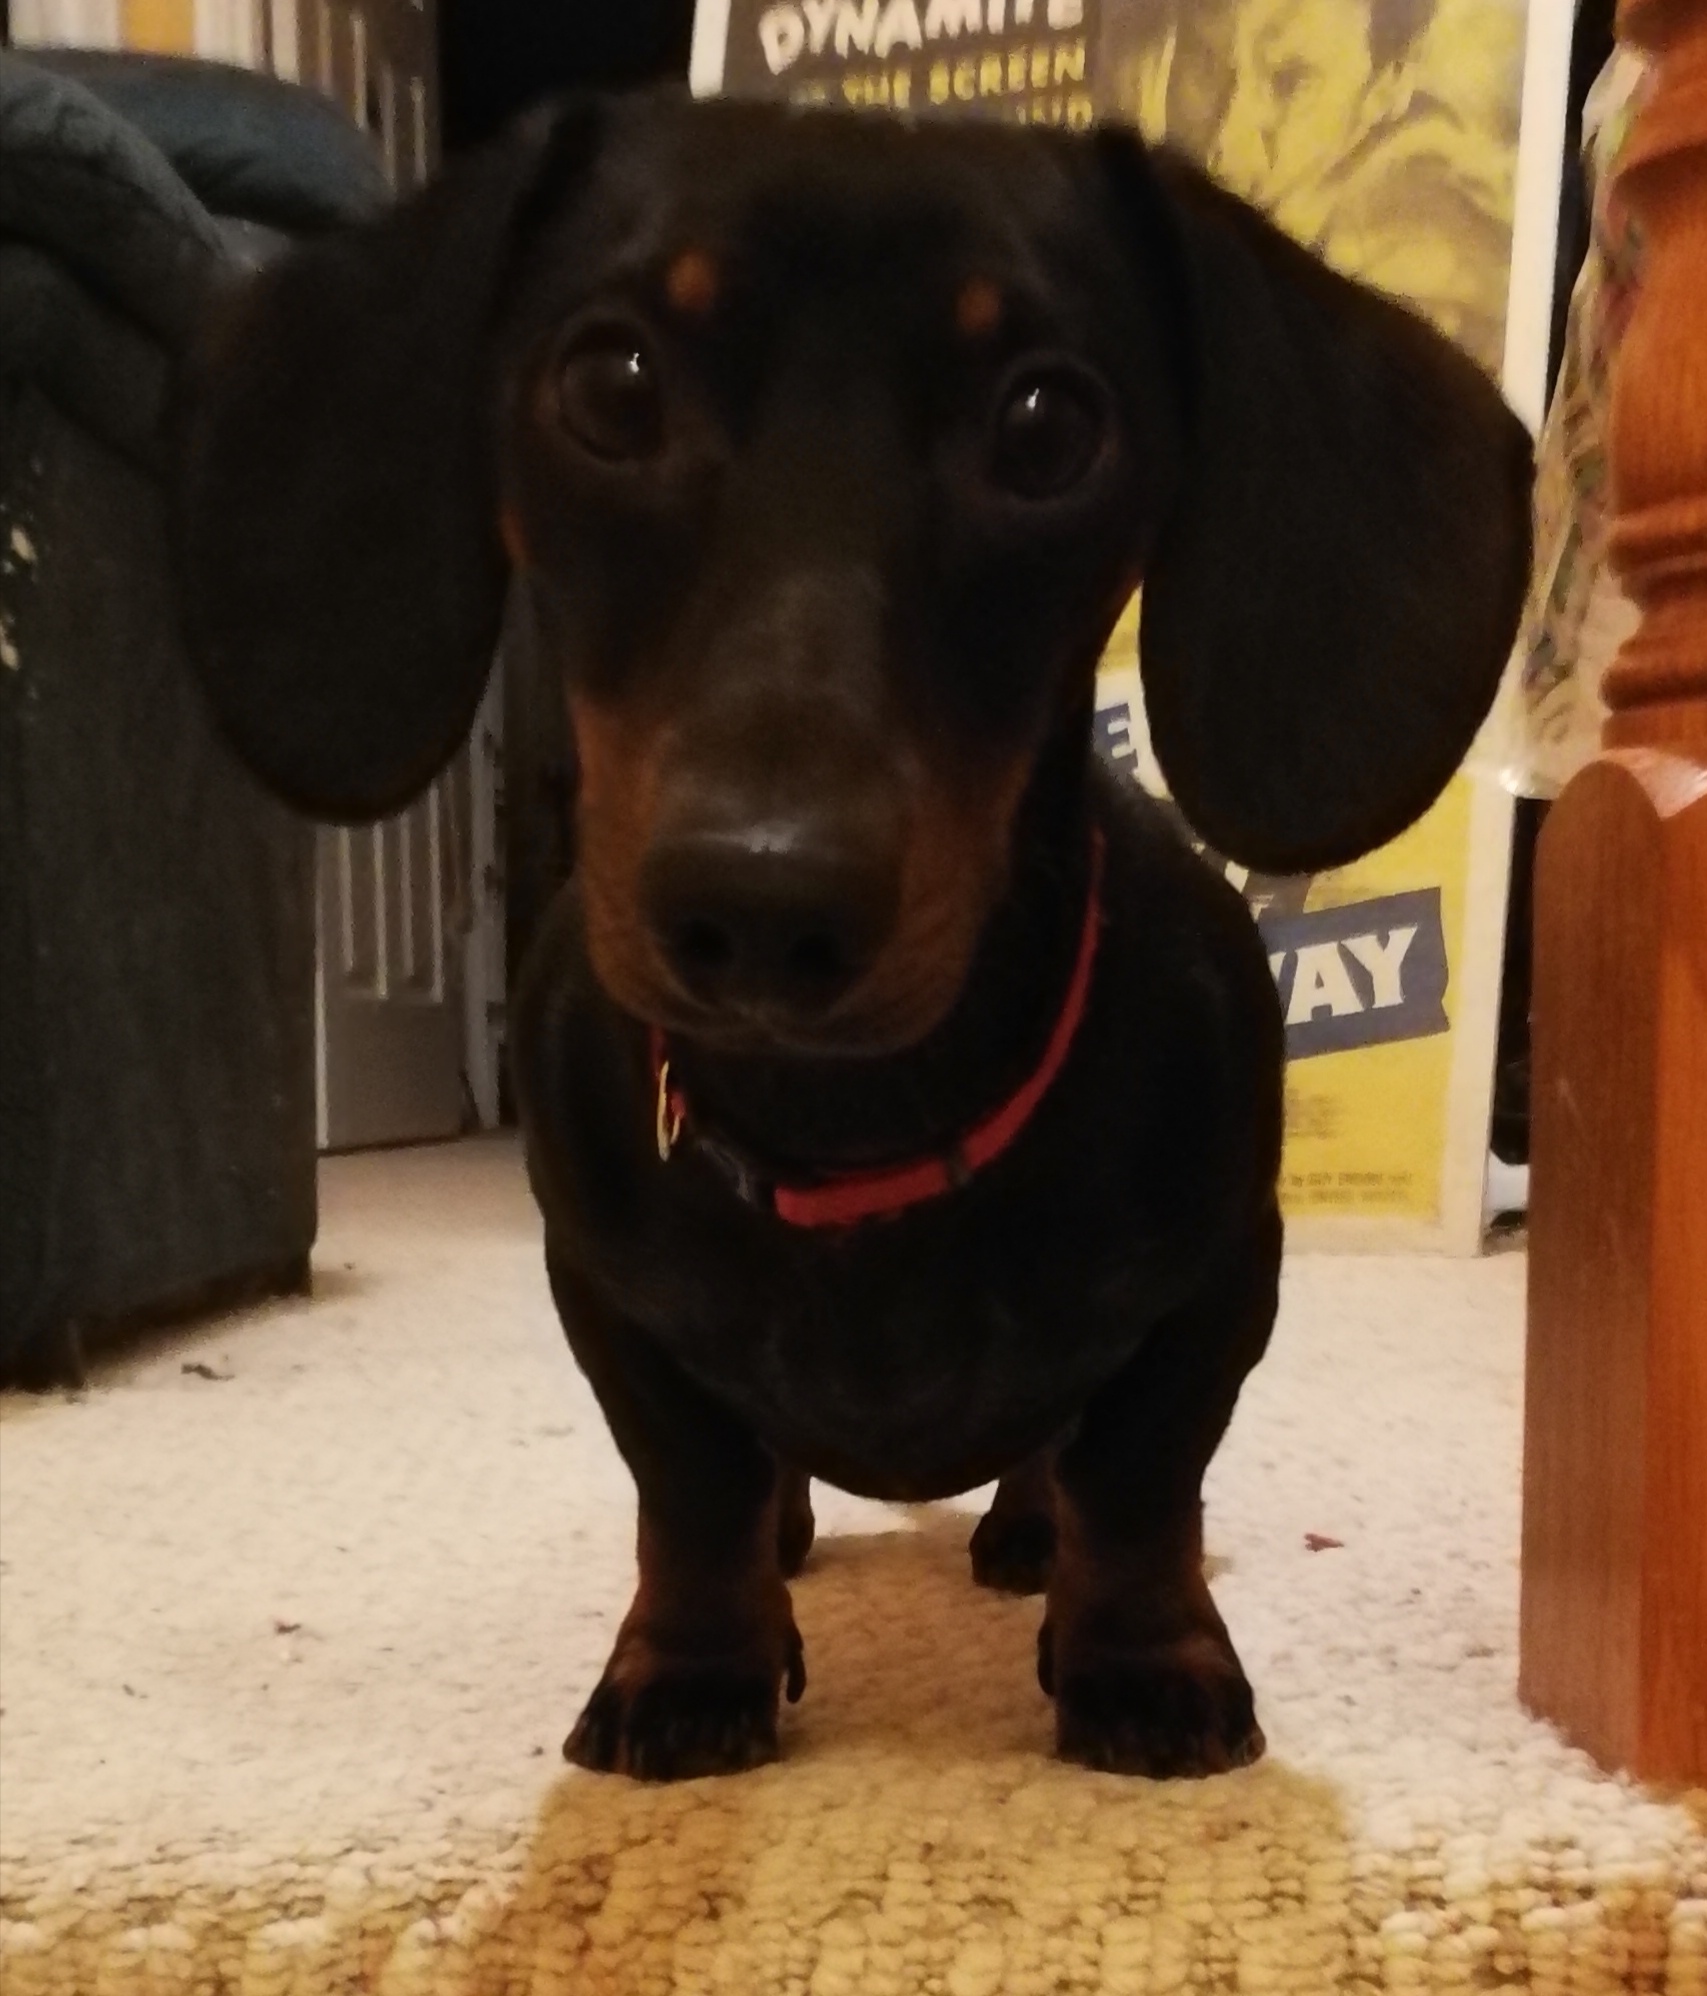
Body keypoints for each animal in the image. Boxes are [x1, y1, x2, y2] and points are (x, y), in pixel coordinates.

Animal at [174, 90, 1531, 1782]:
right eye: (610, 384)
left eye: (1045, 424)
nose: (762, 905)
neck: (858, 1127)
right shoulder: (609, 1303)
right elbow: (687, 1490)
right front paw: (689, 1668)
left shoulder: (1218, 1283)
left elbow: (1141, 1480)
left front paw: (1140, 1660)